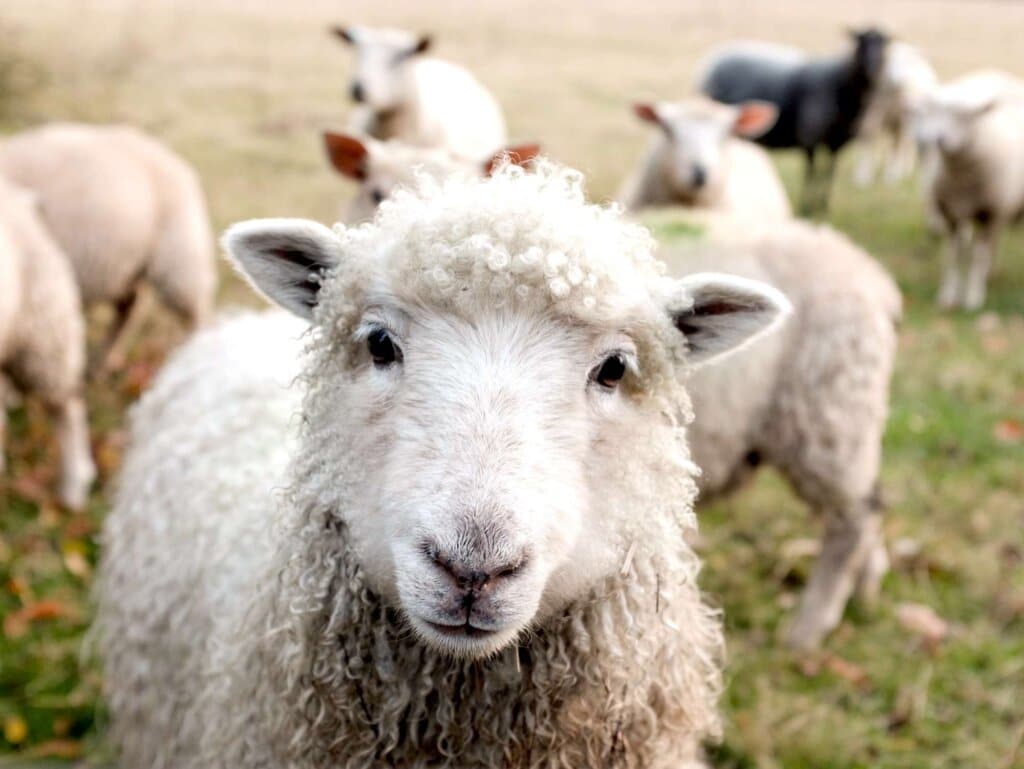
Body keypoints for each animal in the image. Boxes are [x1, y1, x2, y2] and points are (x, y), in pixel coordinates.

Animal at [0, 123, 216, 370]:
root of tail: (174, 160)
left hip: (179, 257)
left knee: (197, 312)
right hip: (128, 267)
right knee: (129, 308)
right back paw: (106, 360)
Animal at [655, 213, 901, 649]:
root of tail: (873, 276)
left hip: (827, 414)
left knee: (855, 518)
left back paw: (809, 628)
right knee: (870, 503)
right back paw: (867, 587)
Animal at [699, 29, 890, 214]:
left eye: (884, 44)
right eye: (861, 42)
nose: (873, 67)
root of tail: (712, 59)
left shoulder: (837, 143)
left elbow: (829, 172)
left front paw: (823, 206)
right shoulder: (810, 137)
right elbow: (811, 172)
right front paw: (807, 207)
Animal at [914, 71, 1024, 309]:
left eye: (965, 117)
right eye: (936, 112)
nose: (939, 139)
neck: (961, 180)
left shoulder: (989, 213)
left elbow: (977, 257)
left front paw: (974, 297)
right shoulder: (950, 214)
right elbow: (952, 256)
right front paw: (947, 296)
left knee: (991, 245)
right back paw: (991, 273)